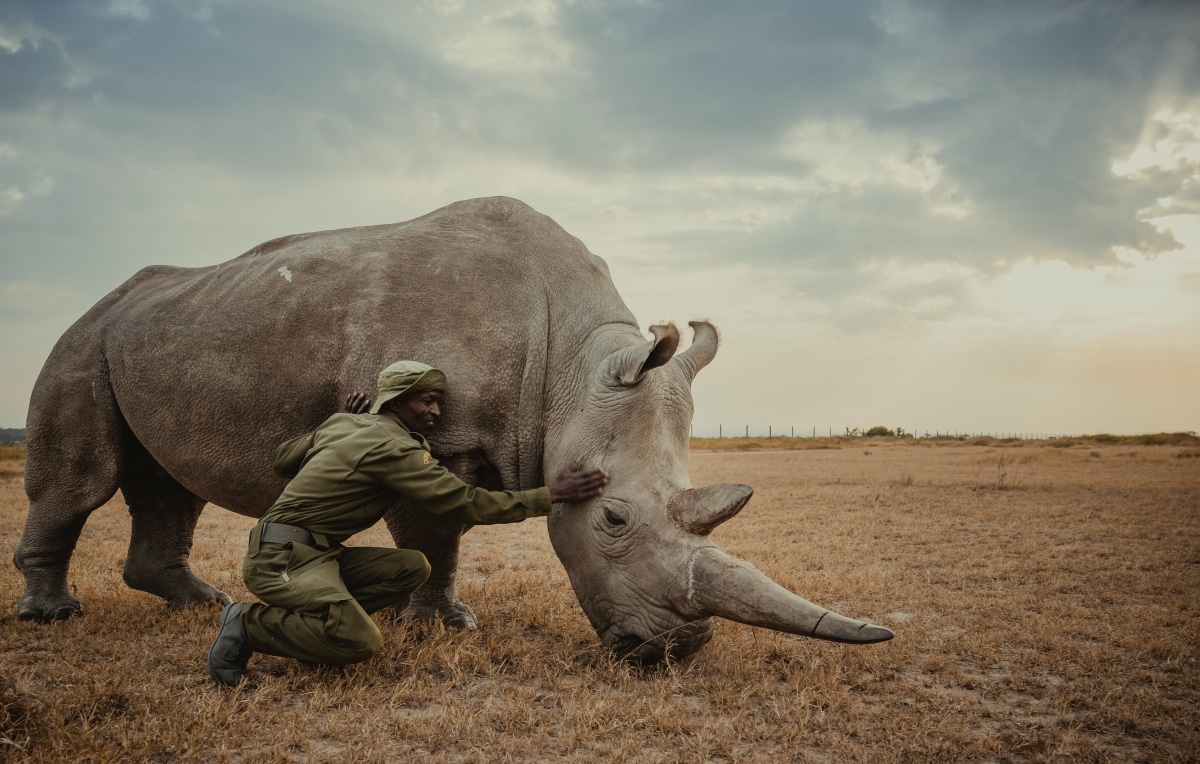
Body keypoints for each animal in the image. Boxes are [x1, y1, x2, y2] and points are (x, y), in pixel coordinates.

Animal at [11, 195, 892, 662]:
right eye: (613, 519)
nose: (670, 652)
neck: (571, 365)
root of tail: (111, 299)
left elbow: (448, 533)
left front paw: (440, 617)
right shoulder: (433, 432)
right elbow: (435, 530)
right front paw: (445, 625)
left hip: (165, 335)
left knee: (168, 485)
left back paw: (199, 603)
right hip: (84, 337)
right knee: (81, 481)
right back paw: (54, 616)